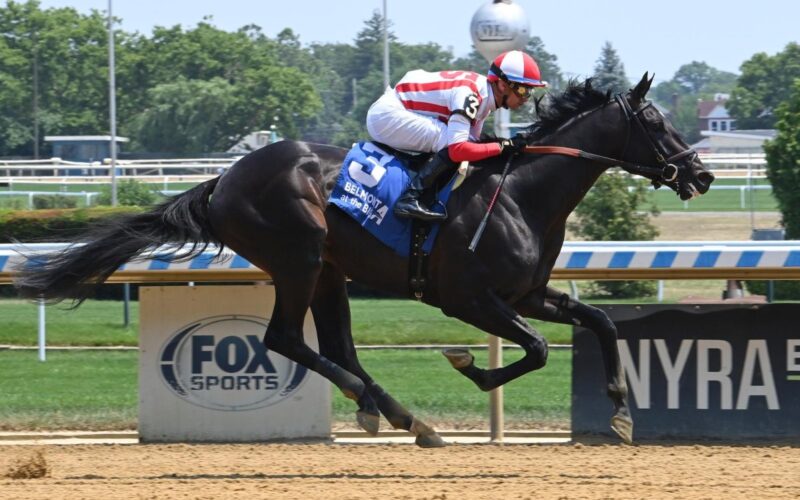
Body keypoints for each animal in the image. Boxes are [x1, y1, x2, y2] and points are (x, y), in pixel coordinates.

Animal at [14, 74, 712, 450]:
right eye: (656, 122)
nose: (702, 175)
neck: (520, 194)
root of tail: (223, 181)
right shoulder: (468, 298)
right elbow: (536, 350)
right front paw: (466, 364)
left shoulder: (527, 295)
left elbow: (602, 323)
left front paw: (620, 413)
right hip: (297, 257)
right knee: (284, 339)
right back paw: (380, 406)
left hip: (328, 270)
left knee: (336, 347)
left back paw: (401, 415)